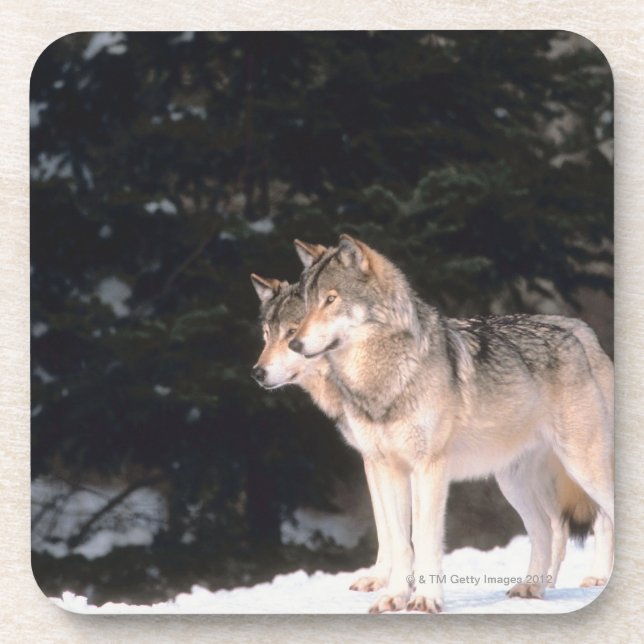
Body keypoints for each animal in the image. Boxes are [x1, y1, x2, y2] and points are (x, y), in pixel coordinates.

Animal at [250, 242, 611, 604]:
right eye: (266, 336)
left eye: (291, 331)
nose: (257, 372)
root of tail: (579, 333)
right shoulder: (378, 461)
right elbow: (391, 531)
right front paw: (390, 588)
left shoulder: (424, 465)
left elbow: (418, 536)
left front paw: (418, 595)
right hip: (513, 482)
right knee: (550, 527)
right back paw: (535, 587)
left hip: (581, 467)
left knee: (599, 516)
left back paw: (594, 578)